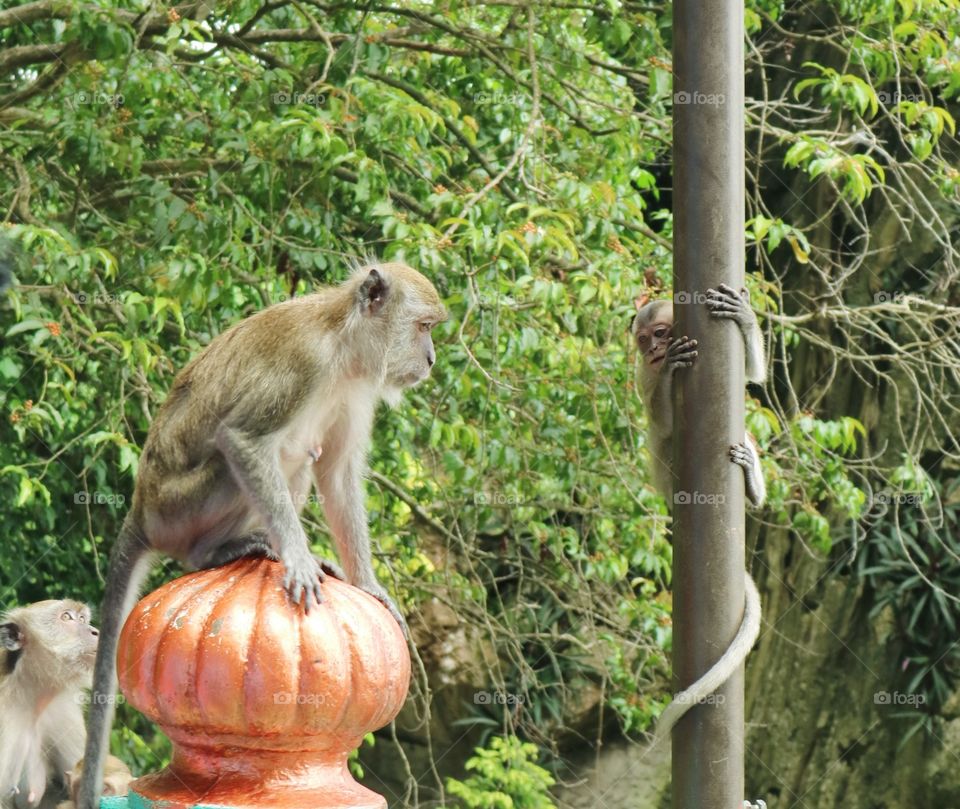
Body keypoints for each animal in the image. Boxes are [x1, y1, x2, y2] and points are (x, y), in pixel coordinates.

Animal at [78, 260, 446, 808]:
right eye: (424, 327)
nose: (431, 357)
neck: (343, 346)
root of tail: (141, 505)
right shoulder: (304, 363)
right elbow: (244, 440)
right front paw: (296, 555)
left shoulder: (358, 391)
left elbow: (337, 472)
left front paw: (367, 582)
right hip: (177, 507)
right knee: (243, 458)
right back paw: (222, 550)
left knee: (301, 457)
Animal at [632, 280, 768, 736]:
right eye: (644, 342)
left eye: (659, 333)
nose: (655, 350)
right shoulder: (641, 373)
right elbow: (661, 424)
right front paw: (669, 370)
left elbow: (753, 376)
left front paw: (744, 315)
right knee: (664, 442)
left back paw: (753, 487)